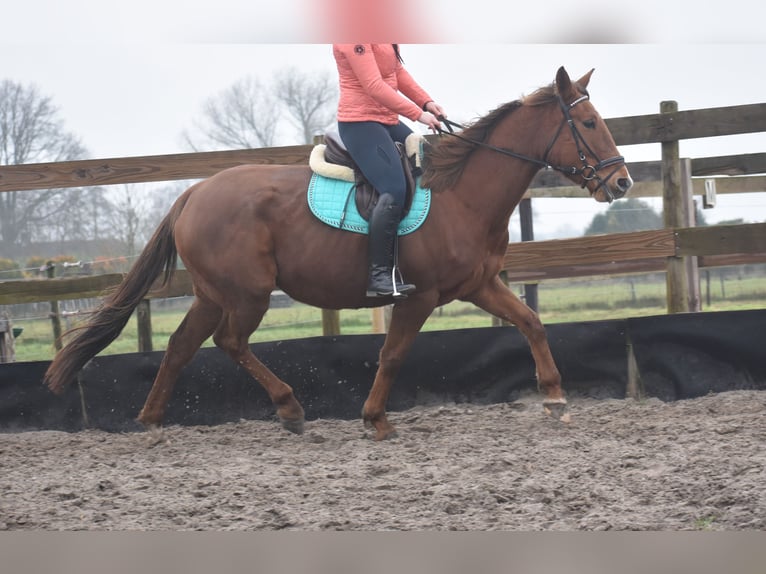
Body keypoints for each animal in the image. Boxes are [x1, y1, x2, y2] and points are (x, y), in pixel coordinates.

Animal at [46, 68, 636, 446]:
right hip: (247, 294)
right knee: (229, 343)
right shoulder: (419, 296)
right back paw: (289, 409)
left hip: (213, 295)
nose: (622, 183)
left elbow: (531, 323)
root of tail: (193, 192)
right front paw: (376, 420)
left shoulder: (478, 285)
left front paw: (555, 398)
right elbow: (393, 355)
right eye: (588, 125)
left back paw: (151, 423)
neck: (461, 192)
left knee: (180, 347)